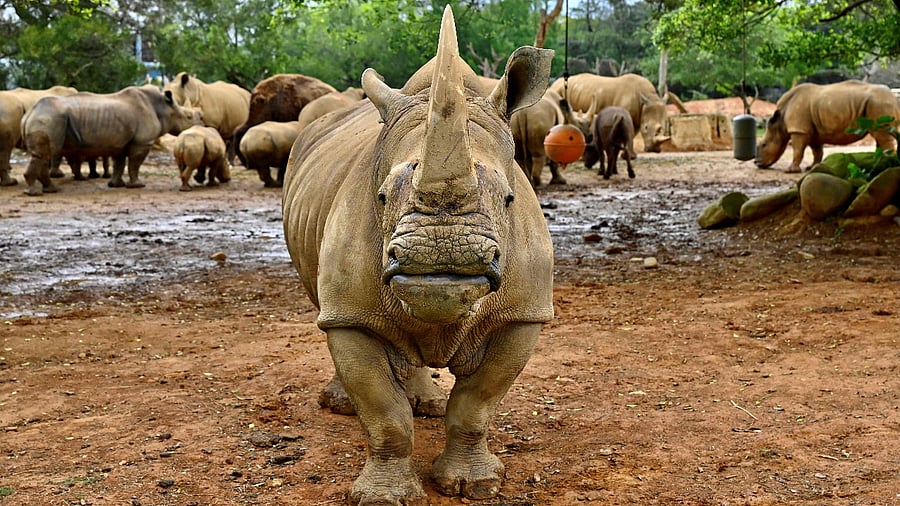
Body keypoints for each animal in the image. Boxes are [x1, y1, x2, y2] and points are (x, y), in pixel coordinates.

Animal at [22, 85, 201, 196]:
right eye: (188, 117)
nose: (201, 124)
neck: (163, 107)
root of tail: (30, 113)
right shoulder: (142, 142)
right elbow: (135, 164)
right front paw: (137, 185)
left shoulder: (120, 143)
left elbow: (119, 164)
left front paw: (116, 185)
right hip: (49, 119)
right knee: (45, 154)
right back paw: (35, 193)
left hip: (46, 118)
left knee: (44, 155)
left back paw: (51, 190)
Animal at [281, 6, 554, 503]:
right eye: (383, 197)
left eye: (509, 199)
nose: (442, 251)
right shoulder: (351, 312)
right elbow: (384, 414)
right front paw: (382, 497)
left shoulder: (523, 312)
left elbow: (476, 404)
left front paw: (473, 485)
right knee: (325, 310)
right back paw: (343, 404)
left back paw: (425, 404)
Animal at [755, 80, 900, 173]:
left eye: (764, 145)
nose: (757, 163)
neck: (780, 122)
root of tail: (894, 97)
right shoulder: (812, 131)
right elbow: (817, 151)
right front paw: (812, 168)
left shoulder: (799, 130)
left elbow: (798, 150)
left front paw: (790, 171)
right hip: (879, 104)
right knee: (881, 136)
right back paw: (880, 165)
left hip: (879, 104)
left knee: (882, 135)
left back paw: (888, 166)